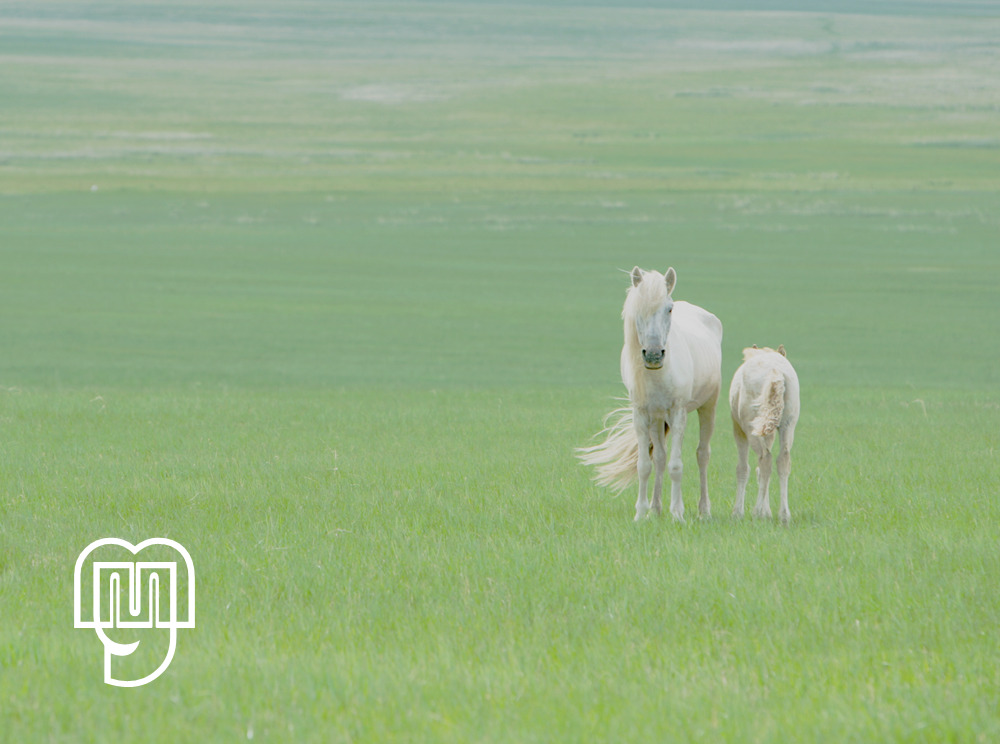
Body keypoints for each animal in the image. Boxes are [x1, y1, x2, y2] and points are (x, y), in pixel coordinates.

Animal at [576, 268, 724, 524]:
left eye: (669, 309)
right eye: (638, 310)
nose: (654, 355)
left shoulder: (678, 414)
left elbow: (676, 465)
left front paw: (677, 514)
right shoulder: (642, 415)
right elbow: (645, 464)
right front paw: (641, 513)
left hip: (708, 406)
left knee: (702, 454)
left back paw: (704, 510)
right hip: (657, 419)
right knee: (661, 458)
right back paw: (656, 509)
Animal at [728, 344, 796, 524]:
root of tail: (775, 372)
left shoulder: (739, 430)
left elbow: (743, 468)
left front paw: (738, 513)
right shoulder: (769, 430)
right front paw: (768, 511)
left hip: (751, 429)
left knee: (765, 460)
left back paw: (758, 512)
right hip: (788, 425)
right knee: (782, 461)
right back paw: (784, 515)